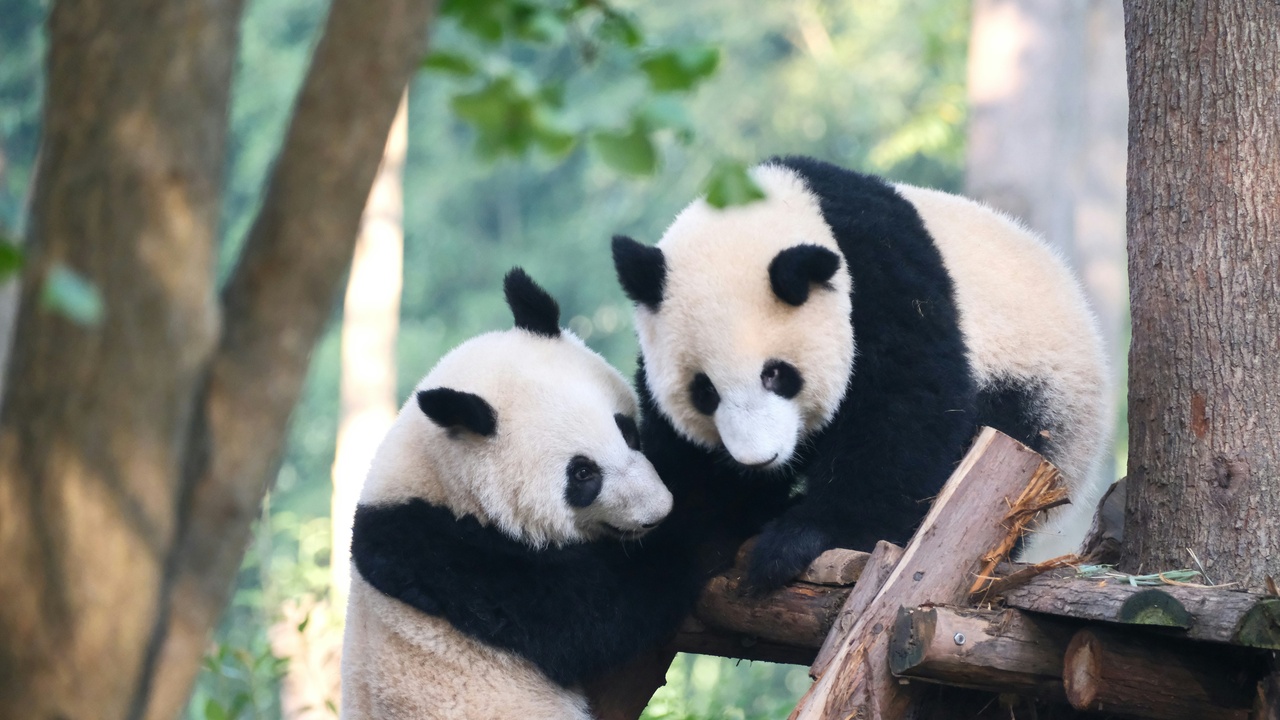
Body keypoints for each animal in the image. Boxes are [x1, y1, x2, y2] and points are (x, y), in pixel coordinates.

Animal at [341, 269, 703, 719]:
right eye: (582, 474)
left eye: (627, 431)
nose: (658, 510)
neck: (439, 479)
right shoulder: (449, 559)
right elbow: (608, 605)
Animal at [611, 155, 1112, 593]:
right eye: (704, 391)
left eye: (776, 374)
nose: (758, 460)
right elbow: (683, 464)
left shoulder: (885, 281)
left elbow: (905, 416)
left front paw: (797, 539)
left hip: (1037, 393)